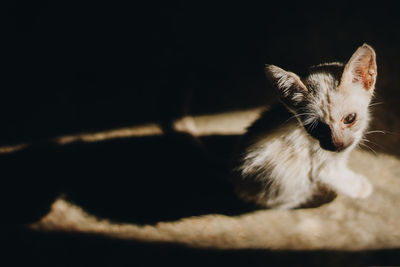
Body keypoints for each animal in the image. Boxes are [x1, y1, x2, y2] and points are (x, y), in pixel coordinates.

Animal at [233, 44, 376, 210]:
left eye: (349, 119)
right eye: (316, 127)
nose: (338, 145)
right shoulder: (320, 167)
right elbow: (338, 177)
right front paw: (360, 187)